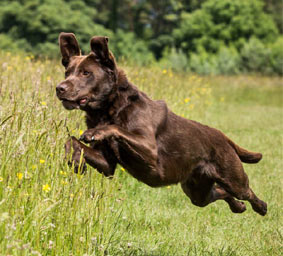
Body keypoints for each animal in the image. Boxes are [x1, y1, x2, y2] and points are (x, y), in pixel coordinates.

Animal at [56, 32, 268, 216]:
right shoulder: (107, 165)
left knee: (246, 191)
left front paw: (96, 133)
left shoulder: (150, 150)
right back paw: (238, 207)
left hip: (232, 178)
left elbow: (115, 128)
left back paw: (261, 207)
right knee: (220, 192)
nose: (59, 88)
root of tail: (223, 136)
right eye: (67, 72)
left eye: (86, 73)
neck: (109, 109)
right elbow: (71, 141)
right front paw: (76, 162)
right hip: (196, 190)